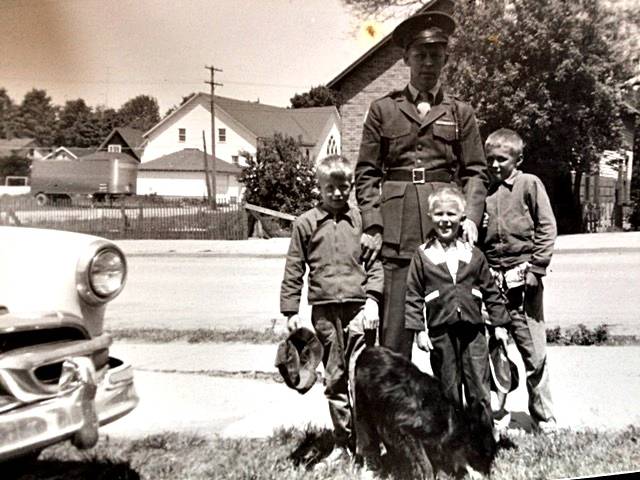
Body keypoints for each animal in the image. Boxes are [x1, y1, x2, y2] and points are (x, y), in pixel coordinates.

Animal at [356, 346, 496, 478]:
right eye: (482, 457)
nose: (489, 475)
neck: (450, 420)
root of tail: (368, 350)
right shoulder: (407, 431)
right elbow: (426, 464)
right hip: (366, 410)